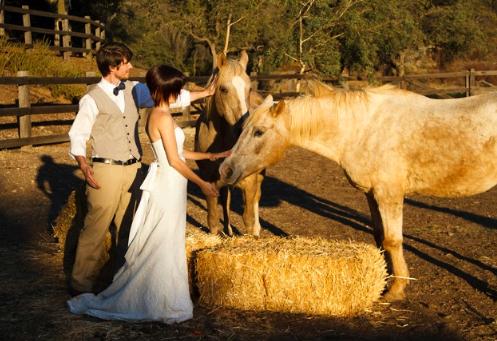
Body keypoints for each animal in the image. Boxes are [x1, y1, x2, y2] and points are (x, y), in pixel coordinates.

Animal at [194, 51, 266, 235]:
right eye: (224, 89)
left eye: (249, 88)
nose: (245, 128)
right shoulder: (209, 179)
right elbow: (212, 219)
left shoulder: (249, 181)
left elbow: (248, 218)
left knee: (256, 198)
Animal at [220, 83, 497, 298]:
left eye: (259, 132)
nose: (225, 170)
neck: (363, 128)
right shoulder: (372, 194)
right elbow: (379, 236)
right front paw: (385, 279)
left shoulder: (388, 194)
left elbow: (392, 240)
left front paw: (396, 290)